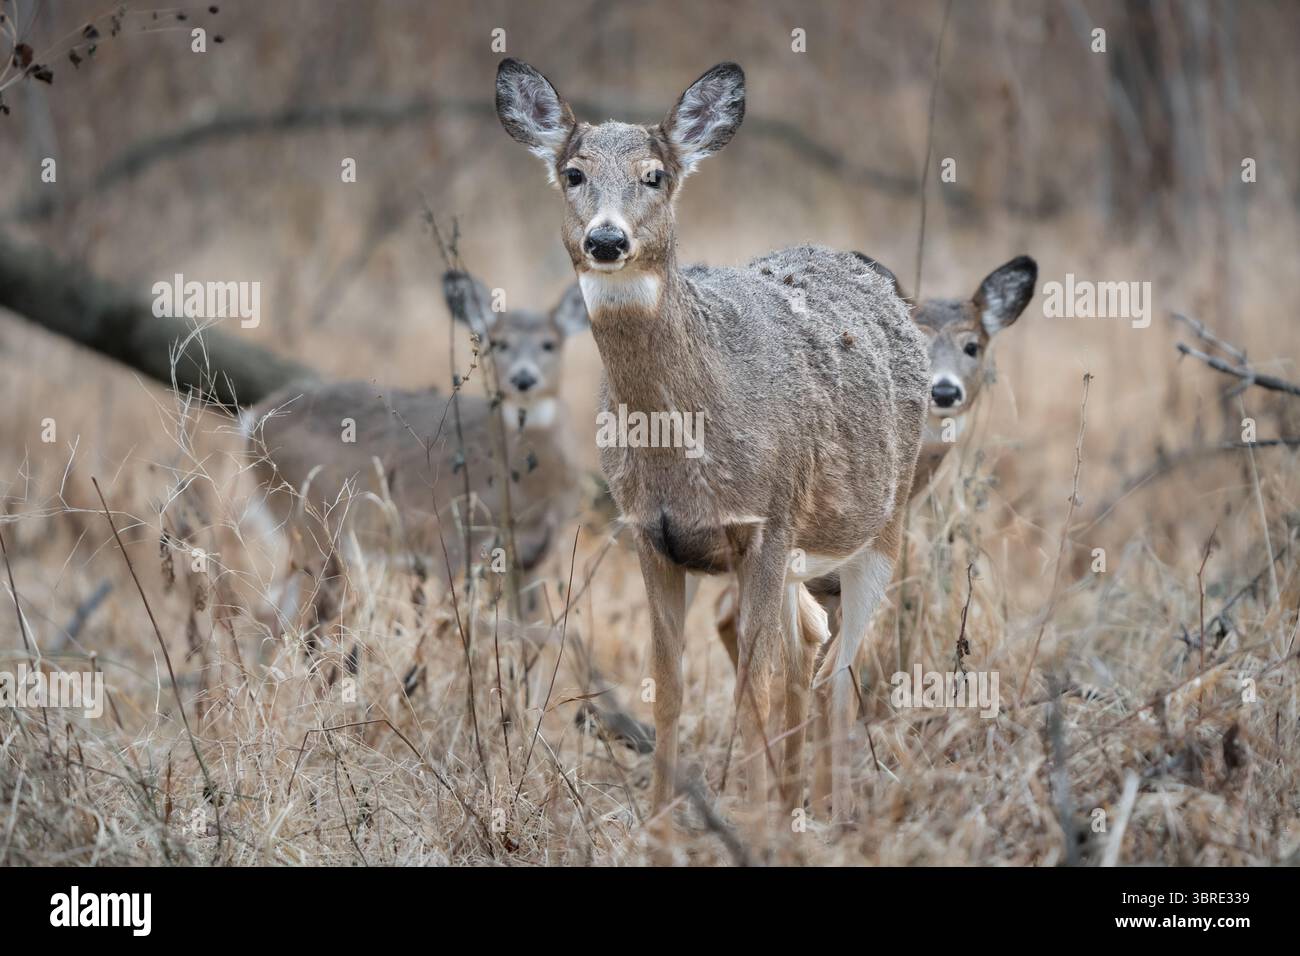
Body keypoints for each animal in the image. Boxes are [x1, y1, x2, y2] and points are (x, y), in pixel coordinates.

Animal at [241, 270, 589, 637]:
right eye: (499, 343)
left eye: (549, 344)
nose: (523, 378)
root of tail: (252, 421)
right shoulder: (448, 536)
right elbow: (448, 621)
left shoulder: (532, 556)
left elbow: (530, 628)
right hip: (310, 518)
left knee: (267, 613)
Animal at [495, 58, 930, 828]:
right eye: (573, 172)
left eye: (655, 175)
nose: (606, 240)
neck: (684, 442)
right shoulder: (649, 533)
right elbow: (667, 686)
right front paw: (661, 821)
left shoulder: (765, 522)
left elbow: (752, 685)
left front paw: (748, 821)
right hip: (800, 553)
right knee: (810, 645)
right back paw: (796, 800)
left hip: (881, 523)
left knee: (839, 667)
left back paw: (832, 811)